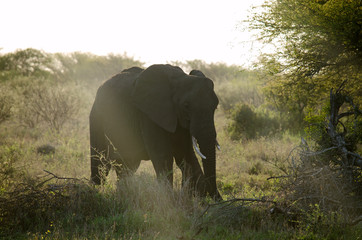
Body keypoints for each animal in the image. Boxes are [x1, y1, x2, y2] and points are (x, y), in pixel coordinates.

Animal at [89, 64, 222, 201]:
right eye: (186, 106)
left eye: (216, 106)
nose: (218, 198)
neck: (180, 78)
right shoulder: (149, 115)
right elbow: (163, 156)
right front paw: (169, 201)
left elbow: (185, 155)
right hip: (96, 117)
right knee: (102, 164)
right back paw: (95, 191)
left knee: (127, 166)